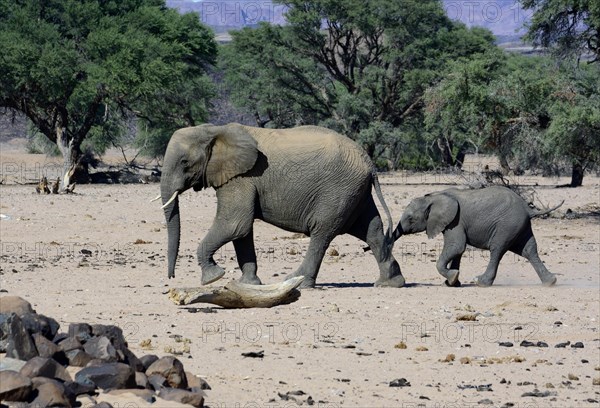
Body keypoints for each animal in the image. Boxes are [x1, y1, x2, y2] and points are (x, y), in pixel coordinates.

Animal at [159, 122, 406, 288]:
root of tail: (369, 162)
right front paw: (249, 284)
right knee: (371, 230)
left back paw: (298, 281)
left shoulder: (242, 177)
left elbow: (235, 223)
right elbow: (241, 231)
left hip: (339, 190)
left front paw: (213, 277)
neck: (212, 130)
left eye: (184, 162)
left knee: (322, 232)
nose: (171, 277)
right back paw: (390, 283)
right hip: (356, 191)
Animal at [396, 186, 560, 286]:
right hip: (519, 225)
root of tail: (528, 208)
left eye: (410, 219)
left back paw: (481, 282)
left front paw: (452, 278)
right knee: (529, 250)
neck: (434, 197)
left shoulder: (455, 221)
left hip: (507, 225)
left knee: (497, 249)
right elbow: (458, 251)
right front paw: (452, 283)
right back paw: (550, 282)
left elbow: (456, 246)